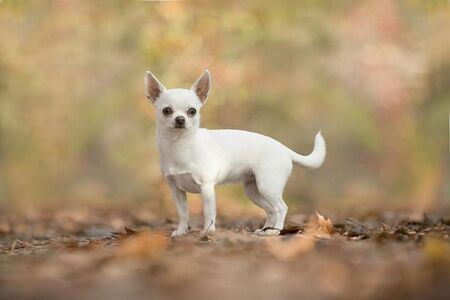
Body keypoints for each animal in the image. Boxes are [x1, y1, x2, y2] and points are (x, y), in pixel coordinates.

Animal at [146, 70, 326, 237]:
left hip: (268, 186)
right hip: (254, 191)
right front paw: (181, 232)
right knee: (271, 210)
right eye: (166, 111)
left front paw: (208, 232)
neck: (180, 145)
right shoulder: (177, 191)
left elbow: (209, 213)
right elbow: (183, 214)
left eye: (192, 111)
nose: (180, 119)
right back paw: (265, 230)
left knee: (282, 208)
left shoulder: (207, 188)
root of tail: (284, 149)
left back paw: (274, 232)